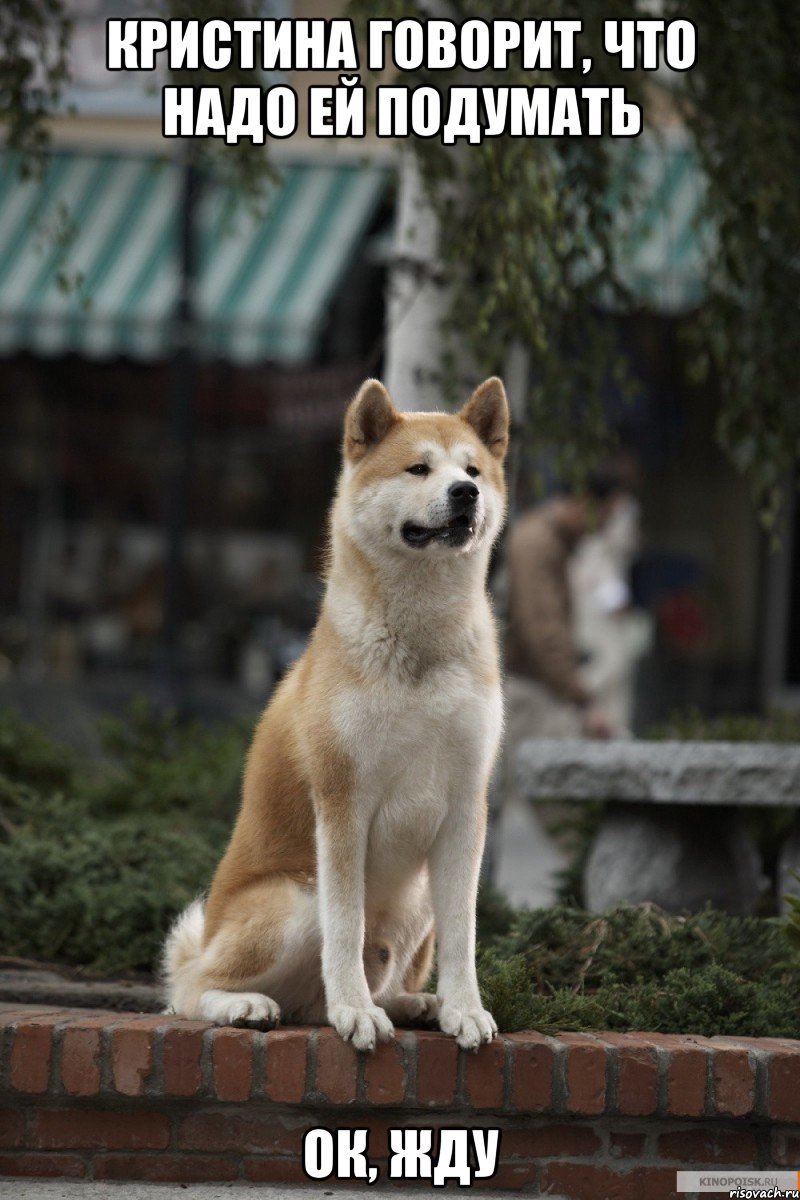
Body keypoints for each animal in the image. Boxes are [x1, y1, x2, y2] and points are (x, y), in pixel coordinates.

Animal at [165, 374, 510, 1051]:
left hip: (417, 900)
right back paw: (250, 1005)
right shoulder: (343, 801)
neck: (420, 643)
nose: (465, 493)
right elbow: (346, 928)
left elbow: (464, 935)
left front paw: (464, 1009)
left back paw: (415, 1003)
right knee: (189, 990)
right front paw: (355, 1011)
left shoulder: (466, 806)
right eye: (418, 468)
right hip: (295, 900)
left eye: (473, 470)